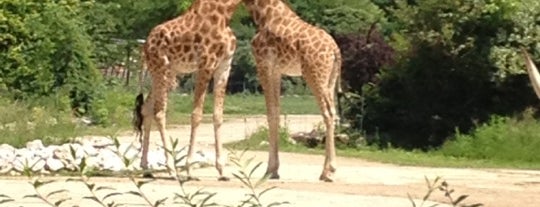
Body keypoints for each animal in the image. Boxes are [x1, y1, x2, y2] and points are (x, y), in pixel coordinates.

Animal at [134, 0, 244, 181]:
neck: (225, 13)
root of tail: (145, 47)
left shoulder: (224, 66)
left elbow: (218, 116)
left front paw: (222, 171)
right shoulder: (205, 64)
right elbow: (196, 115)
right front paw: (190, 169)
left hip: (169, 74)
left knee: (146, 108)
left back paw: (146, 168)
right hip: (161, 69)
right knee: (159, 111)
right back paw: (171, 170)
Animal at [244, 0, 344, 181]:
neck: (263, 15)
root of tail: (335, 50)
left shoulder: (263, 65)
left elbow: (270, 113)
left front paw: (269, 171)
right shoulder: (276, 71)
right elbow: (276, 112)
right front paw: (274, 170)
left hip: (314, 75)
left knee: (328, 112)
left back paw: (329, 170)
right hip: (330, 78)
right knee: (332, 111)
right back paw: (325, 171)